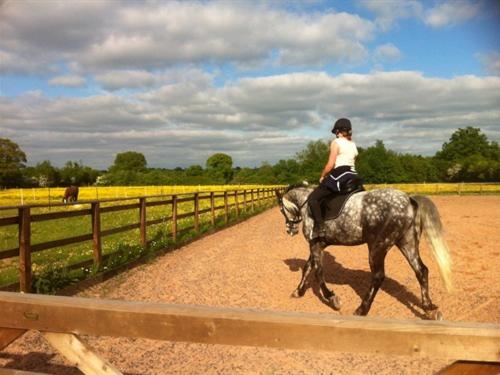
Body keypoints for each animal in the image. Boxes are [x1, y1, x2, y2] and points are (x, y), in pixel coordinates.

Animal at [276, 185, 452, 320]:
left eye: (282, 210)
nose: (289, 230)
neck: (307, 204)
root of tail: (409, 200)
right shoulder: (318, 245)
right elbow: (308, 268)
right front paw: (298, 291)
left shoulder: (315, 244)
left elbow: (318, 273)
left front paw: (332, 299)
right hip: (407, 243)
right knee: (421, 270)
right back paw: (429, 308)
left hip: (377, 247)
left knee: (378, 276)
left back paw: (362, 309)